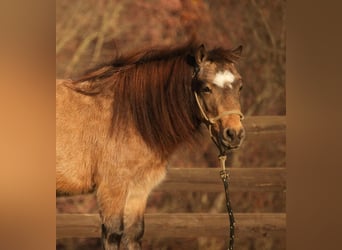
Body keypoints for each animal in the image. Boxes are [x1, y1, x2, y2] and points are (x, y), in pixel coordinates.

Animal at [56, 38, 244, 249]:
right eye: (206, 88)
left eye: (240, 87)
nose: (234, 134)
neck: (129, 114)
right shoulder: (112, 188)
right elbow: (113, 235)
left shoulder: (139, 190)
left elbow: (134, 233)